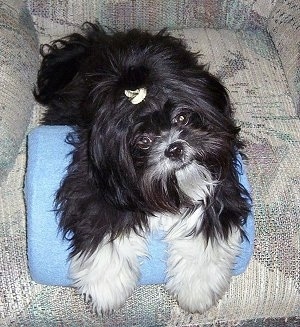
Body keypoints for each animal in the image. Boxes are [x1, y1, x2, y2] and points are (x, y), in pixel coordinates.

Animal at [34, 23, 251, 316]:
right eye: (143, 141)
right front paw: (105, 287)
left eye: (182, 117)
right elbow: (104, 224)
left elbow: (207, 226)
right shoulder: (97, 180)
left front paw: (198, 287)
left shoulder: (221, 175)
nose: (174, 148)